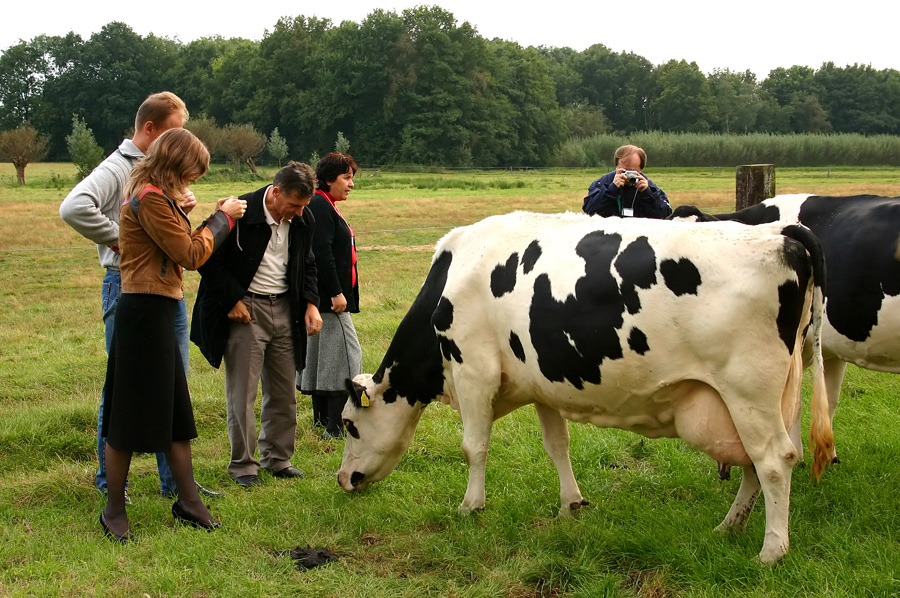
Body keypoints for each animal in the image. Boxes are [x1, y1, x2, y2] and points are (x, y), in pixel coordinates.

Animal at [342, 213, 832, 564]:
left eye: (348, 424)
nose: (344, 479)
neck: (455, 272)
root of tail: (781, 232)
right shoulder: (540, 384)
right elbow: (557, 445)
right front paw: (571, 504)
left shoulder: (473, 370)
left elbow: (474, 446)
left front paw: (471, 506)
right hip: (766, 399)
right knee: (757, 463)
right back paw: (729, 527)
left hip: (748, 391)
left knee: (774, 461)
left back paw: (771, 551)